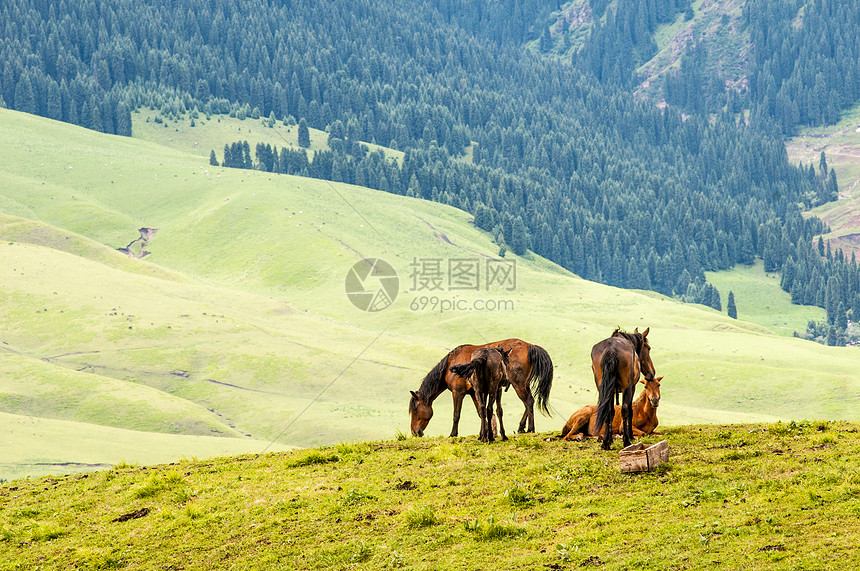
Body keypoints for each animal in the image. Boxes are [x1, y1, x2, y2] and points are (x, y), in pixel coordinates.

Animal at [408, 340, 556, 438]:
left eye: (415, 409)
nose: (415, 432)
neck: (450, 364)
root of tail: (530, 346)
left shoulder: (458, 392)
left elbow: (456, 415)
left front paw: (453, 434)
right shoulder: (475, 393)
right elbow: (481, 412)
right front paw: (484, 433)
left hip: (518, 384)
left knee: (529, 401)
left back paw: (530, 428)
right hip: (523, 384)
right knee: (529, 402)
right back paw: (521, 428)